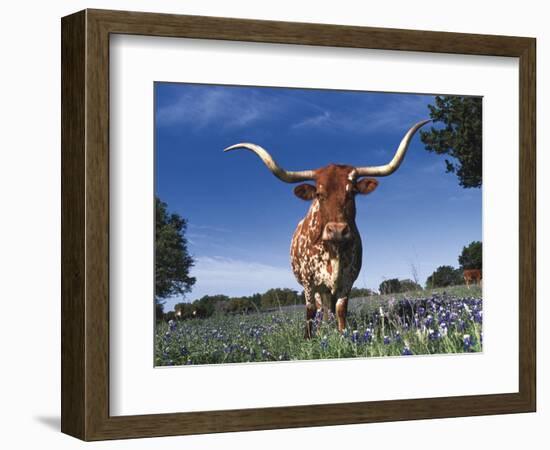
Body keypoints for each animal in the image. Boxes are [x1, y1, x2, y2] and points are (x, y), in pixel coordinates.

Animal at [226, 119, 434, 338]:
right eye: (319, 193)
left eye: (352, 192)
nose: (337, 230)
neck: (334, 251)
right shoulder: (309, 283)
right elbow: (310, 311)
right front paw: (309, 338)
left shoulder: (347, 281)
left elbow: (341, 309)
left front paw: (342, 334)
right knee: (320, 308)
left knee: (329, 308)